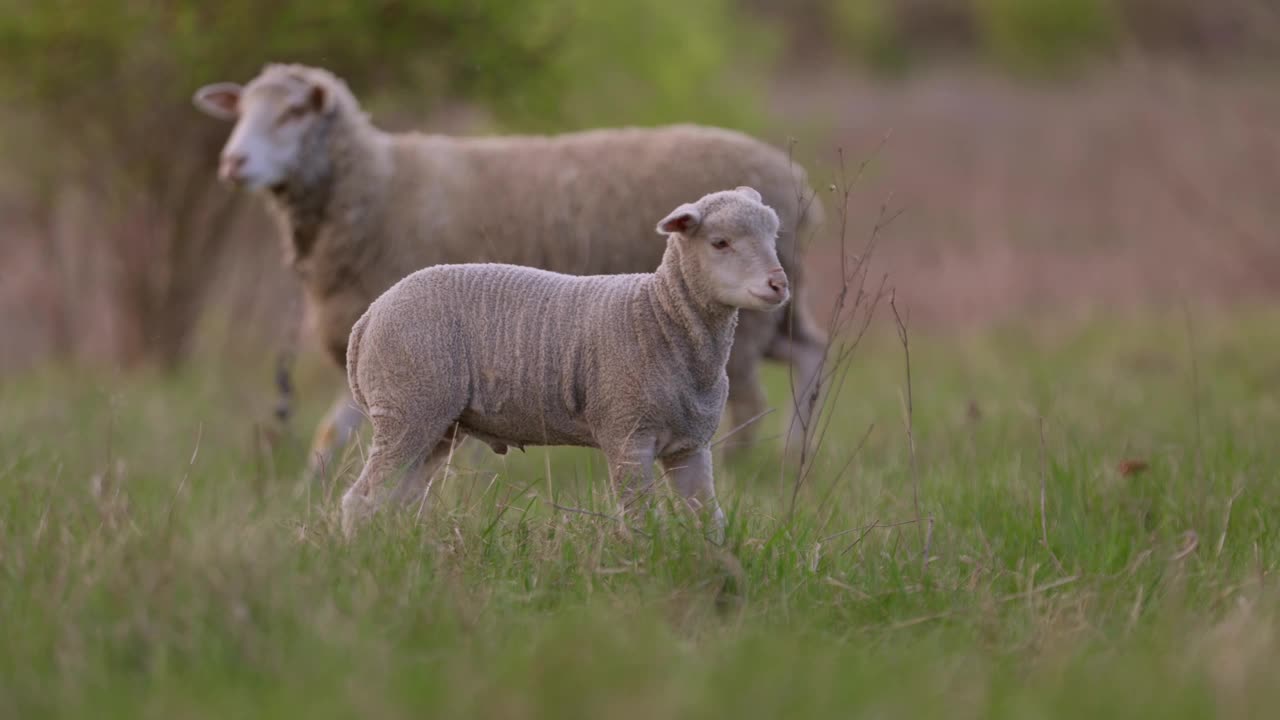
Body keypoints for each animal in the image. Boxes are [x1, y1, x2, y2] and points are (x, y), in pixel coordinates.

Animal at [192, 61, 829, 476]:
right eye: (241, 109)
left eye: (294, 112)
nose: (232, 163)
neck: (378, 184)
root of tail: (795, 179)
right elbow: (334, 430)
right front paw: (312, 483)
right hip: (776, 307)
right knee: (811, 355)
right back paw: (796, 456)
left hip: (749, 322)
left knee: (751, 402)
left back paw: (744, 469)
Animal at [335, 184, 783, 532]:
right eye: (720, 242)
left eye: (774, 237)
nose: (779, 284)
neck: (659, 315)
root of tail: (368, 317)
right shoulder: (628, 435)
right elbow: (641, 521)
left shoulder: (690, 447)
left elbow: (710, 521)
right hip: (408, 407)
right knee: (362, 501)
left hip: (438, 423)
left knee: (395, 499)